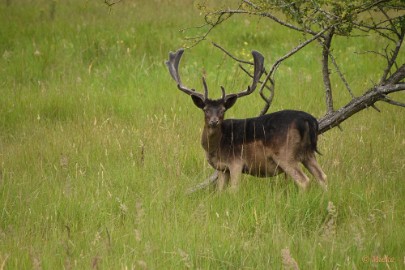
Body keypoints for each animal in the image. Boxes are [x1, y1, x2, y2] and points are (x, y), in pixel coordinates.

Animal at [166, 49, 326, 192]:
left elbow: (234, 190)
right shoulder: (223, 169)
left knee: (304, 181)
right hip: (308, 153)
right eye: (205, 109)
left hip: (286, 154)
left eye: (223, 110)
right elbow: (220, 191)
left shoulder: (236, 162)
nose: (214, 121)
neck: (216, 147)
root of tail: (308, 120)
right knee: (322, 177)